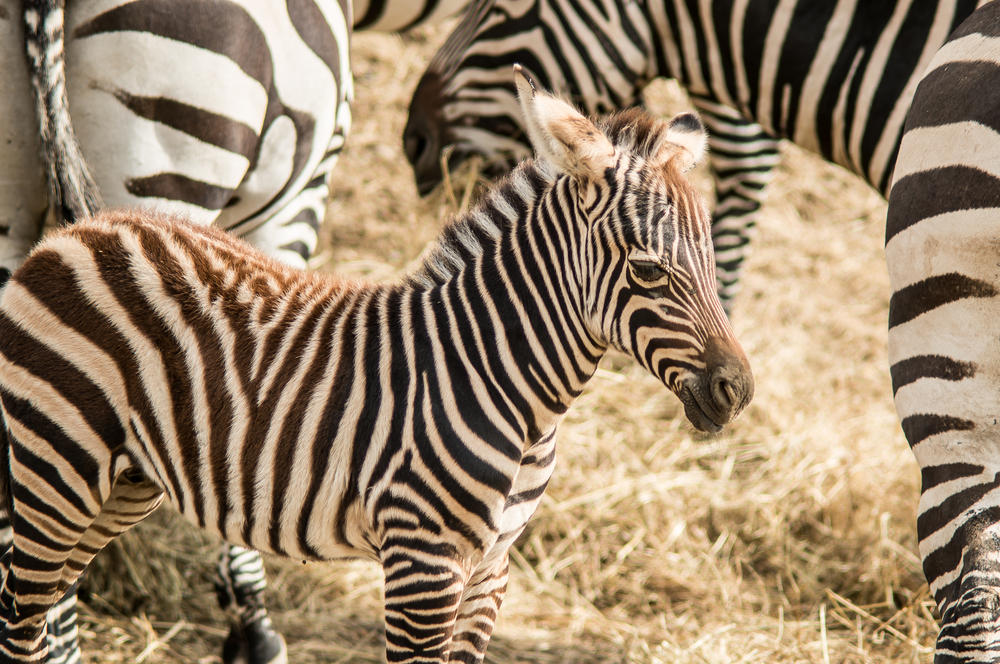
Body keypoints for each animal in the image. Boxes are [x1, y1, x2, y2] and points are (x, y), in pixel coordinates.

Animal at [0, 70, 752, 660]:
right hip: (53, 468)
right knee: (21, 618)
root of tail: (78, 230)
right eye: (648, 269)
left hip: (119, 484)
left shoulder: (492, 569)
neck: (509, 387)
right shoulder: (423, 562)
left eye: (712, 259)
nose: (737, 391)